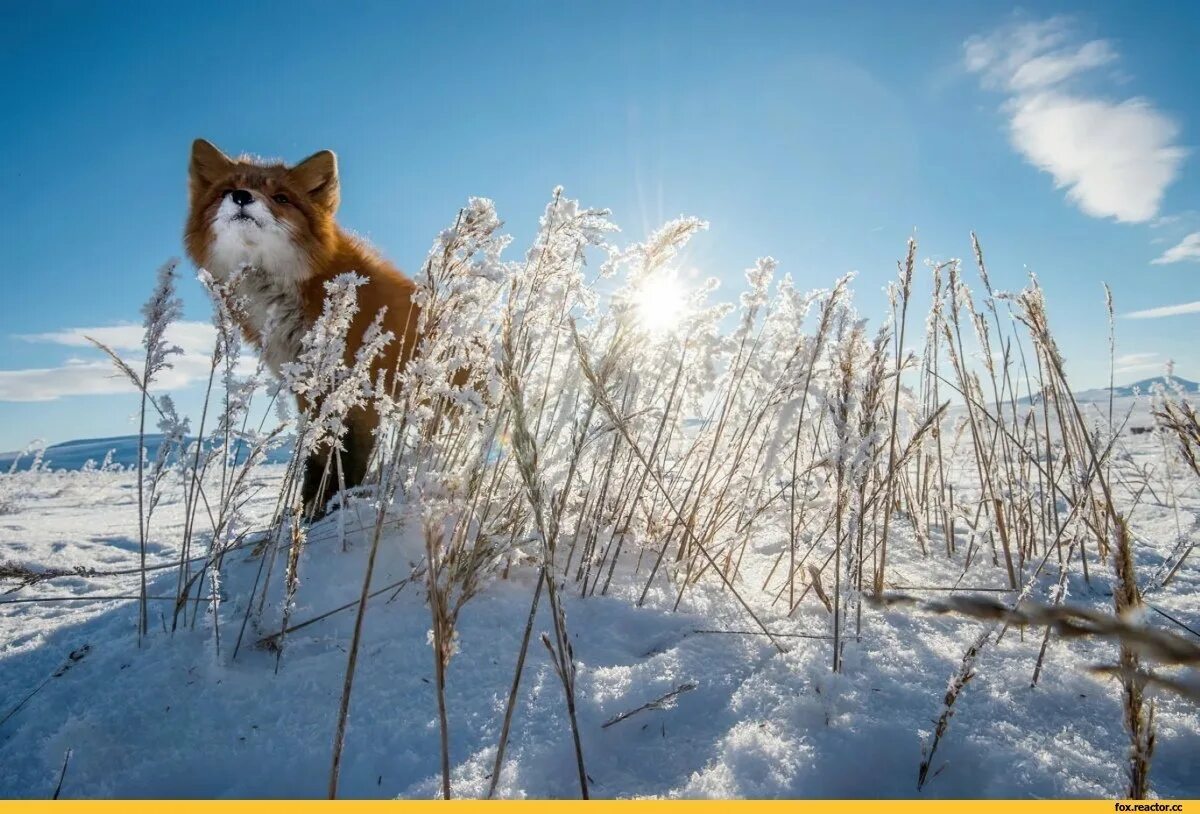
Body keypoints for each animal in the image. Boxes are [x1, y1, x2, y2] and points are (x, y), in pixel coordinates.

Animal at [181, 138, 417, 516]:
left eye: (281, 198)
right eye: (227, 190)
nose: (242, 197)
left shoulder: (360, 390)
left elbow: (350, 460)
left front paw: (335, 508)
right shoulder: (306, 388)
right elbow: (317, 456)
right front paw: (307, 512)